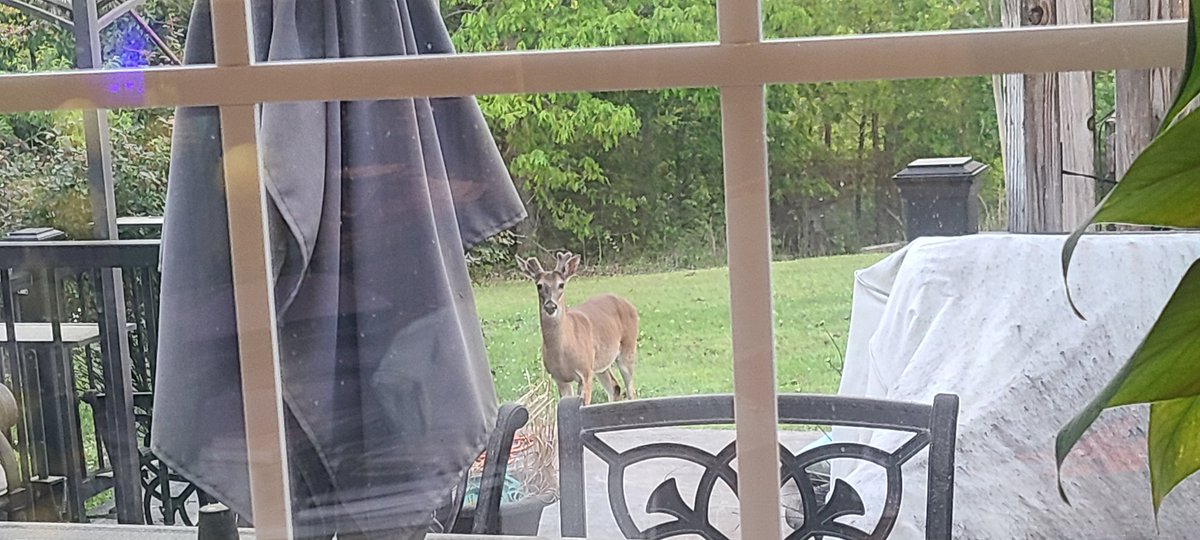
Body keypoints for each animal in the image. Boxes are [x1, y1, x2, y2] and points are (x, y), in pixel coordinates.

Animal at [517, 251, 639, 405]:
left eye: (561, 285)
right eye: (539, 285)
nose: (550, 306)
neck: (562, 352)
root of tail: (630, 305)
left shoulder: (585, 372)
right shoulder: (559, 378)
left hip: (627, 348)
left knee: (631, 390)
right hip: (599, 363)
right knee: (614, 387)